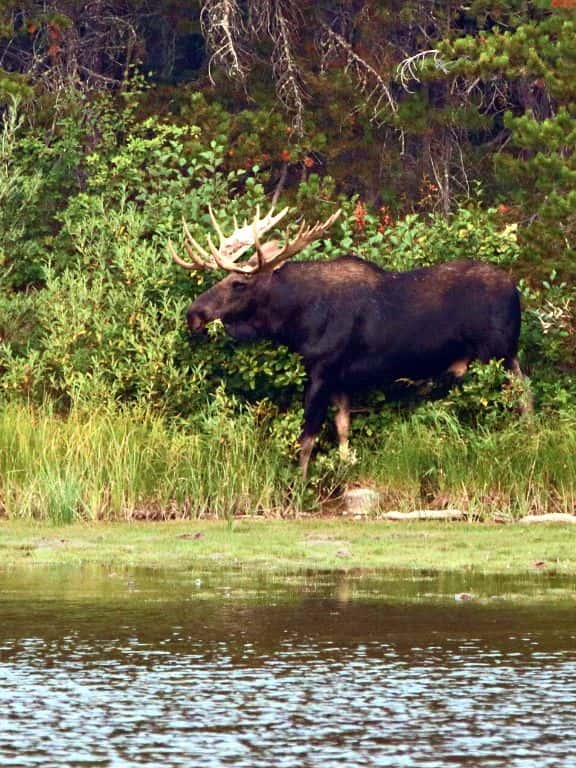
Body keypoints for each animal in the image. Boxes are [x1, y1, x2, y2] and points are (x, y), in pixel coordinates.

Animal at [169, 207, 528, 476]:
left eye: (238, 283)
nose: (194, 313)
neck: (294, 320)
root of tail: (517, 292)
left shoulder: (322, 369)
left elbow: (307, 437)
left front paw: (298, 487)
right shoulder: (341, 379)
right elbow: (343, 431)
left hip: (498, 353)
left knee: (523, 395)